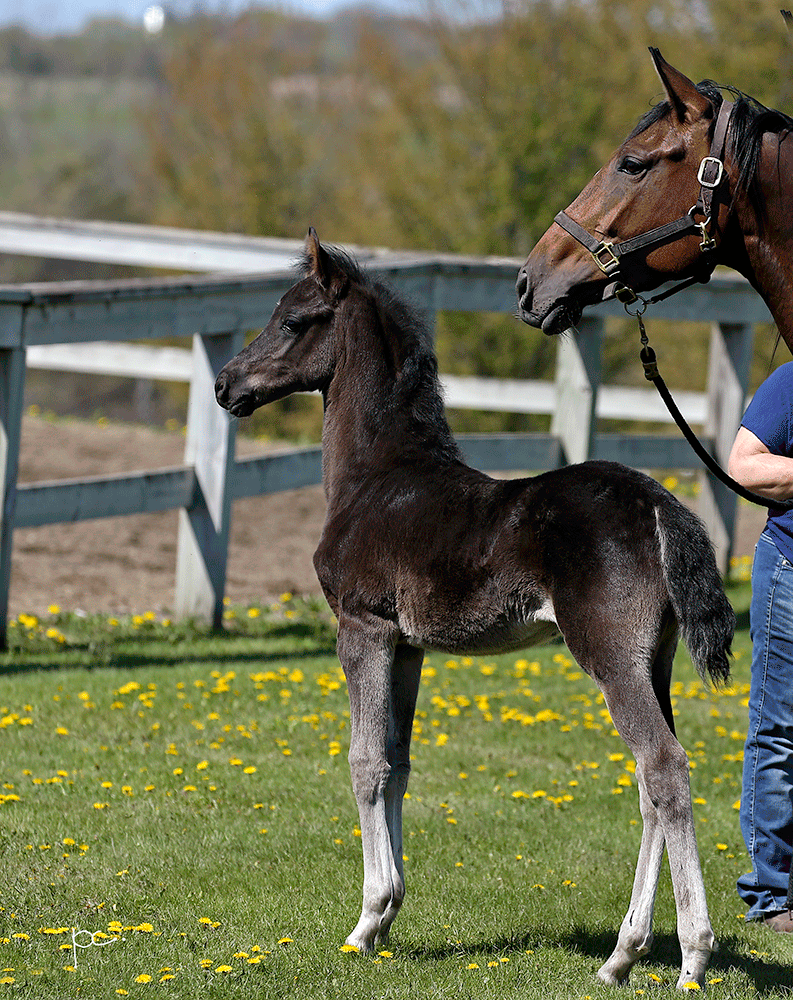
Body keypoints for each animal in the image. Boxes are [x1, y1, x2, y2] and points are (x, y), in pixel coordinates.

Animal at [213, 230, 732, 988]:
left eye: (291, 321)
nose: (227, 385)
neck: (378, 476)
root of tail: (658, 502)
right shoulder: (408, 645)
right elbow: (399, 761)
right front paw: (390, 916)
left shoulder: (361, 627)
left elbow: (364, 761)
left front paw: (365, 921)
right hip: (652, 661)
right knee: (649, 783)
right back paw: (620, 955)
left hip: (610, 658)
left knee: (664, 769)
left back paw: (690, 955)